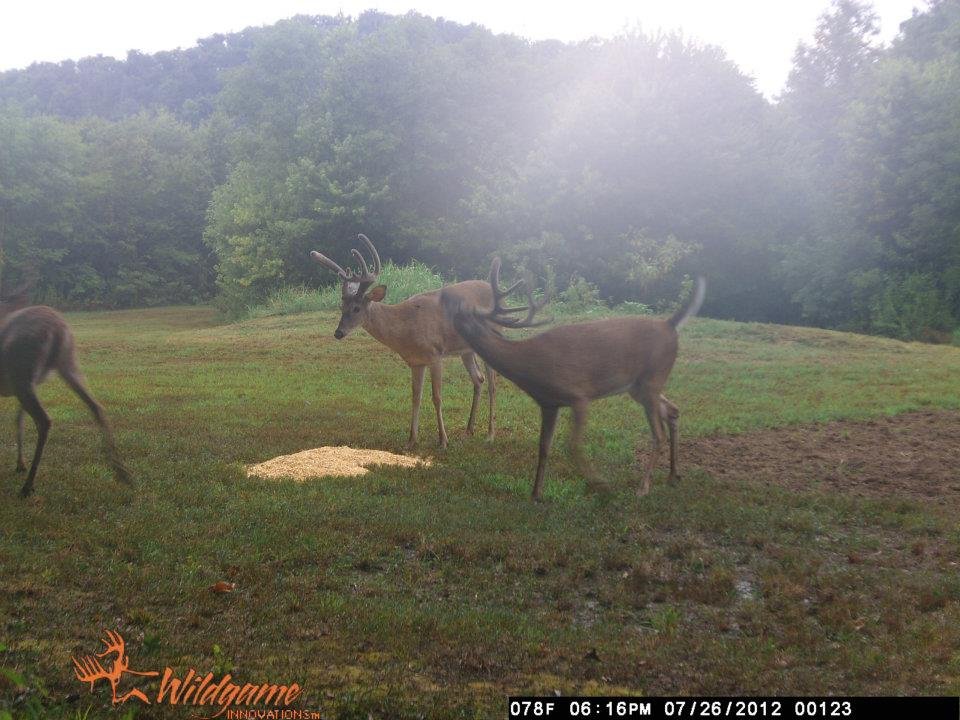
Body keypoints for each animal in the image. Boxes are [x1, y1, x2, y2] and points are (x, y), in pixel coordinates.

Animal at [0, 283, 130, 497]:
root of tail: (57, 328)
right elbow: (18, 418)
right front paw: (20, 464)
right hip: (66, 363)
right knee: (97, 407)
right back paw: (123, 474)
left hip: (22, 372)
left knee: (44, 420)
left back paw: (28, 486)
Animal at [309, 234, 497, 449]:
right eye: (341, 306)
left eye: (356, 308)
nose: (338, 333)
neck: (405, 326)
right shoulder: (416, 362)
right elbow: (415, 397)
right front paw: (411, 440)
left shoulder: (435, 354)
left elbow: (437, 397)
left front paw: (443, 441)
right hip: (466, 350)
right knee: (478, 379)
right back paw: (469, 430)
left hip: (491, 336)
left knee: (492, 383)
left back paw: (490, 434)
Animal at [440, 258, 704, 500]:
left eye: (457, 307)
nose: (443, 293)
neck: (527, 363)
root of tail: (670, 325)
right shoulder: (548, 403)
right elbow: (544, 447)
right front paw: (536, 494)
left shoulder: (578, 395)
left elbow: (572, 446)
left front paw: (600, 483)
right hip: (640, 387)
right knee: (673, 410)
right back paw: (673, 476)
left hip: (652, 380)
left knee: (658, 434)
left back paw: (643, 488)